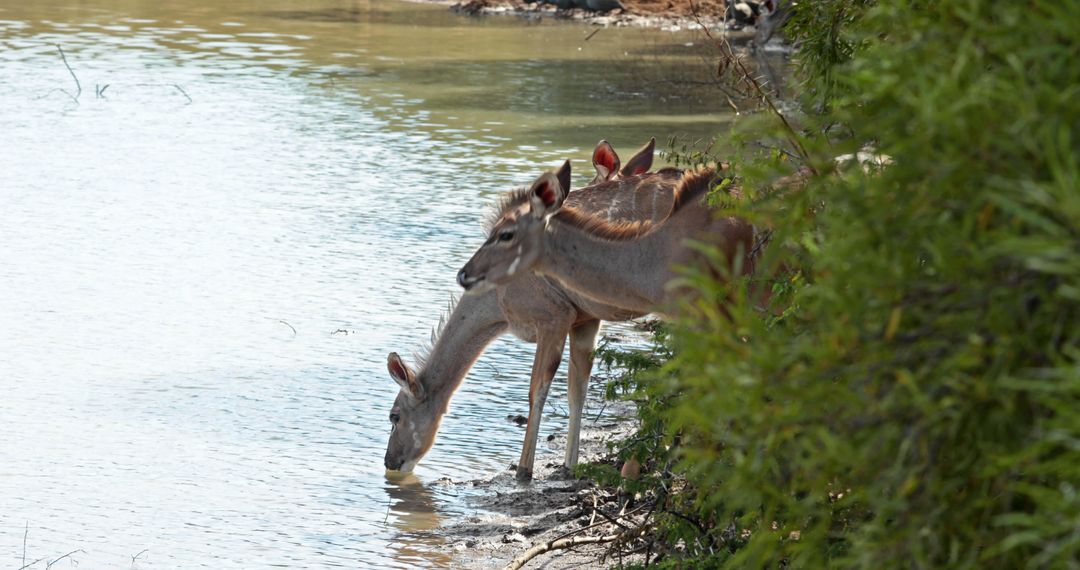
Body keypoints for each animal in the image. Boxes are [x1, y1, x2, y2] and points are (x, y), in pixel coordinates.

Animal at [384, 139, 678, 481]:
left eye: (394, 416)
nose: (390, 462)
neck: (497, 301)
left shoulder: (553, 317)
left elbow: (537, 389)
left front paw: (524, 470)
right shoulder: (585, 320)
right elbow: (577, 389)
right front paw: (569, 466)